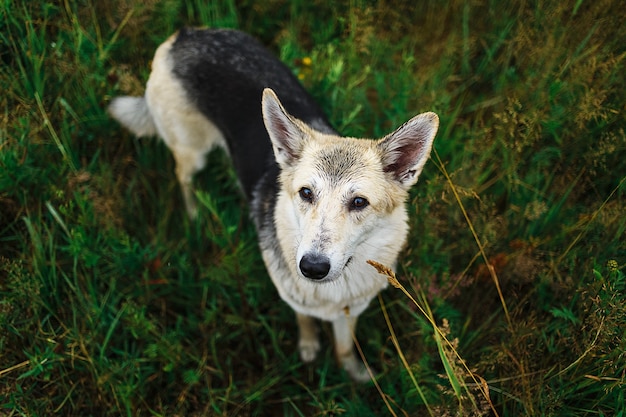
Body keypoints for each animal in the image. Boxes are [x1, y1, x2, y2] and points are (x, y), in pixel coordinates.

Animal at [107, 27, 436, 382]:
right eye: (306, 193)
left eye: (359, 202)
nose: (312, 268)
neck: (333, 291)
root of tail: (183, 35)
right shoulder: (295, 300)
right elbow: (305, 322)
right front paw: (308, 348)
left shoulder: (351, 310)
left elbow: (345, 348)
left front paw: (356, 374)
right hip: (192, 153)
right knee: (183, 178)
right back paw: (194, 215)